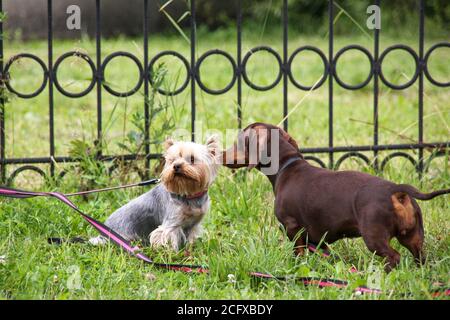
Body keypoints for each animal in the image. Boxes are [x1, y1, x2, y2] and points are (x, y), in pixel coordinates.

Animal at [89, 135, 220, 250]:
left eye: (192, 159)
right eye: (172, 160)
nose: (176, 166)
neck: (188, 193)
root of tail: (102, 234)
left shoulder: (193, 225)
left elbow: (191, 237)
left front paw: (191, 249)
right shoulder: (171, 224)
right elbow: (166, 236)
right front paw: (171, 254)